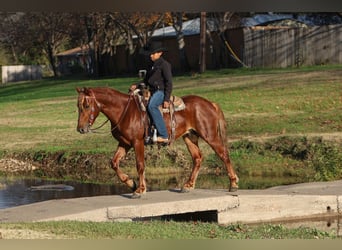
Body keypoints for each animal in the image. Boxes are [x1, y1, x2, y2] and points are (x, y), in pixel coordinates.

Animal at [76, 87, 239, 198]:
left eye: (86, 105)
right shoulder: (125, 143)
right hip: (190, 137)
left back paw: (233, 183)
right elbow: (114, 163)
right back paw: (188, 185)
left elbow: (140, 165)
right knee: (197, 158)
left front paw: (140, 189)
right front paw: (131, 183)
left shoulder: (137, 143)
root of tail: (210, 103)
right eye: (78, 106)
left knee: (224, 154)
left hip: (209, 136)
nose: (80, 129)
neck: (124, 111)